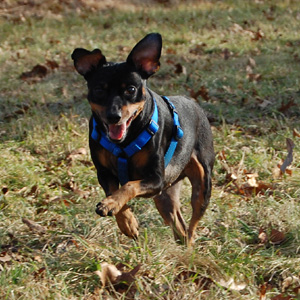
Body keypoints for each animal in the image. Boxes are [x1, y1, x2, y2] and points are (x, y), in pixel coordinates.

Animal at [71, 32, 214, 245]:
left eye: (131, 89)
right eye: (99, 90)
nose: (114, 116)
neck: (124, 141)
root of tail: (194, 103)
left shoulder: (156, 179)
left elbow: (129, 185)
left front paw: (113, 205)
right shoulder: (104, 173)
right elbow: (114, 190)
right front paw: (126, 222)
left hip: (202, 184)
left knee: (192, 225)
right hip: (165, 196)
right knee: (179, 226)